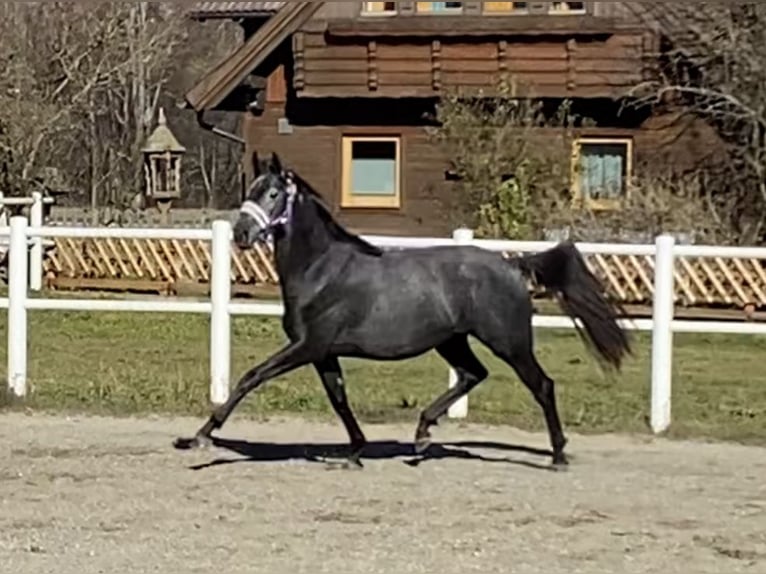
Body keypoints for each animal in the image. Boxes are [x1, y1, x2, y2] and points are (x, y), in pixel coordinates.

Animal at [177, 153, 632, 472]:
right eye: (250, 190)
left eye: (273, 194)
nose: (241, 233)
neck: (321, 270)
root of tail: (511, 265)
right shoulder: (324, 353)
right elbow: (339, 399)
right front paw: (355, 452)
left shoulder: (308, 346)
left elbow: (251, 377)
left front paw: (200, 437)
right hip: (452, 341)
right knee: (472, 375)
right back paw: (422, 434)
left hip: (509, 341)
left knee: (542, 386)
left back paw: (558, 455)